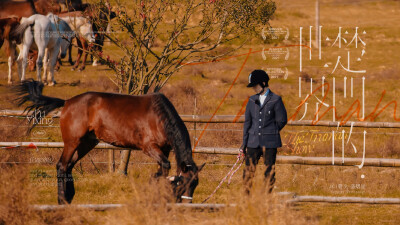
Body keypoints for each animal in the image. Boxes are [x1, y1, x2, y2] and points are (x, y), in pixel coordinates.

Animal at [14, 79, 205, 204]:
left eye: (195, 184)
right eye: (184, 183)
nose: (187, 205)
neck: (159, 117)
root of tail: (67, 102)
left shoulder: (163, 150)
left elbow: (163, 169)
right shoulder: (149, 147)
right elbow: (164, 168)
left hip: (87, 144)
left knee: (69, 166)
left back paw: (69, 197)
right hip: (72, 142)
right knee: (61, 166)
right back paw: (62, 200)